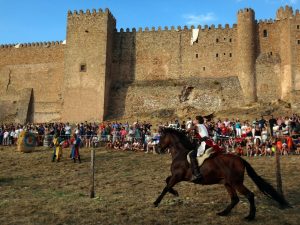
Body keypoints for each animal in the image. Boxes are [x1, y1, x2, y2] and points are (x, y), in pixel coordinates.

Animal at [154, 127, 290, 221]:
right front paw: (175, 192)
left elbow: (166, 187)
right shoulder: (177, 176)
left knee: (249, 195)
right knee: (235, 199)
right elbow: (167, 181)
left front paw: (156, 202)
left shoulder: (177, 176)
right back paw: (223, 213)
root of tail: (240, 159)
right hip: (227, 183)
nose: (158, 149)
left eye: (161, 137)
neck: (180, 153)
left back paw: (250, 217)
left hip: (236, 183)